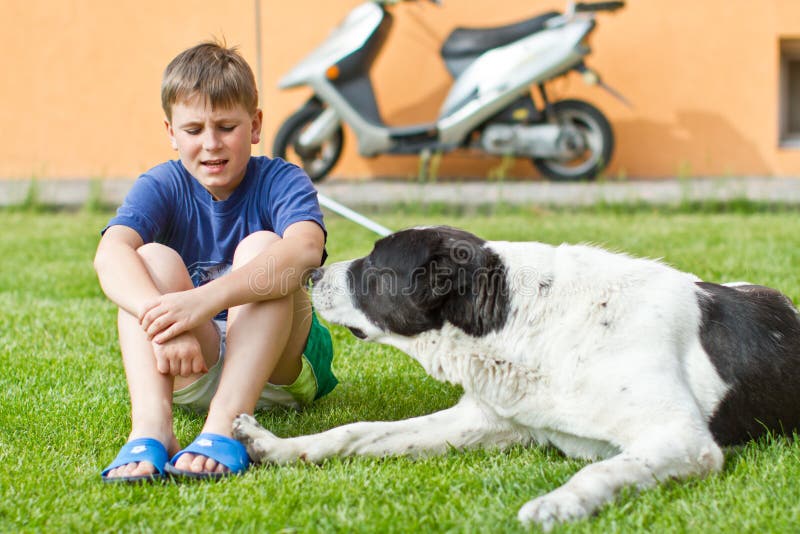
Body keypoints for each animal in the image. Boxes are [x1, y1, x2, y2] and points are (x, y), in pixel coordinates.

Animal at [231, 226, 800, 532]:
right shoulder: (485, 420)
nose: (312, 273)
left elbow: (602, 470)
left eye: (373, 264)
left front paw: (557, 503)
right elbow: (357, 432)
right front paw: (277, 446)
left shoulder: (681, 438)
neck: (523, 319)